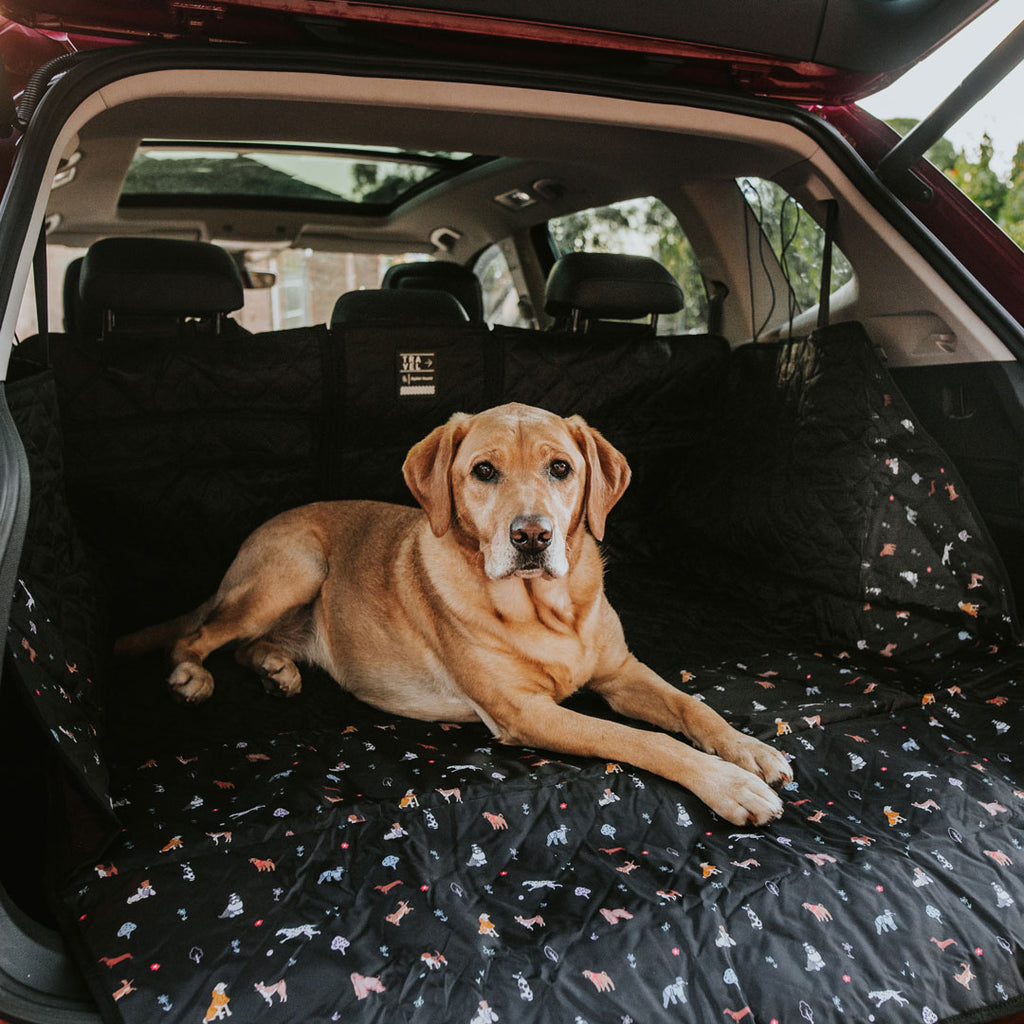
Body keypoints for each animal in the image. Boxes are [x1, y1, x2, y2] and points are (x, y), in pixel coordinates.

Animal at [119, 403, 790, 827]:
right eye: (483, 471)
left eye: (561, 468)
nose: (532, 536)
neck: (548, 613)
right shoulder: (526, 713)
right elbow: (642, 739)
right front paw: (727, 783)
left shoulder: (621, 671)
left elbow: (691, 707)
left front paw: (747, 750)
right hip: (296, 567)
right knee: (200, 634)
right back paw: (191, 677)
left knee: (245, 644)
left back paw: (276, 668)